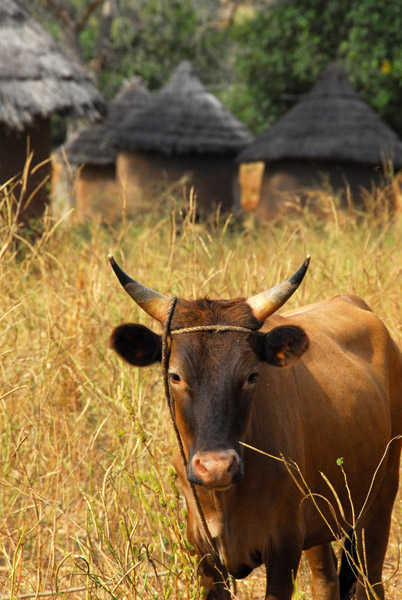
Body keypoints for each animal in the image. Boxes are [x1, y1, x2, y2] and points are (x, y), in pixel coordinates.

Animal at [109, 258, 402, 600]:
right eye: (175, 375)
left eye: (251, 375)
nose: (216, 468)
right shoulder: (206, 555)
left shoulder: (284, 548)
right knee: (325, 580)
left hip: (379, 502)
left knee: (370, 581)